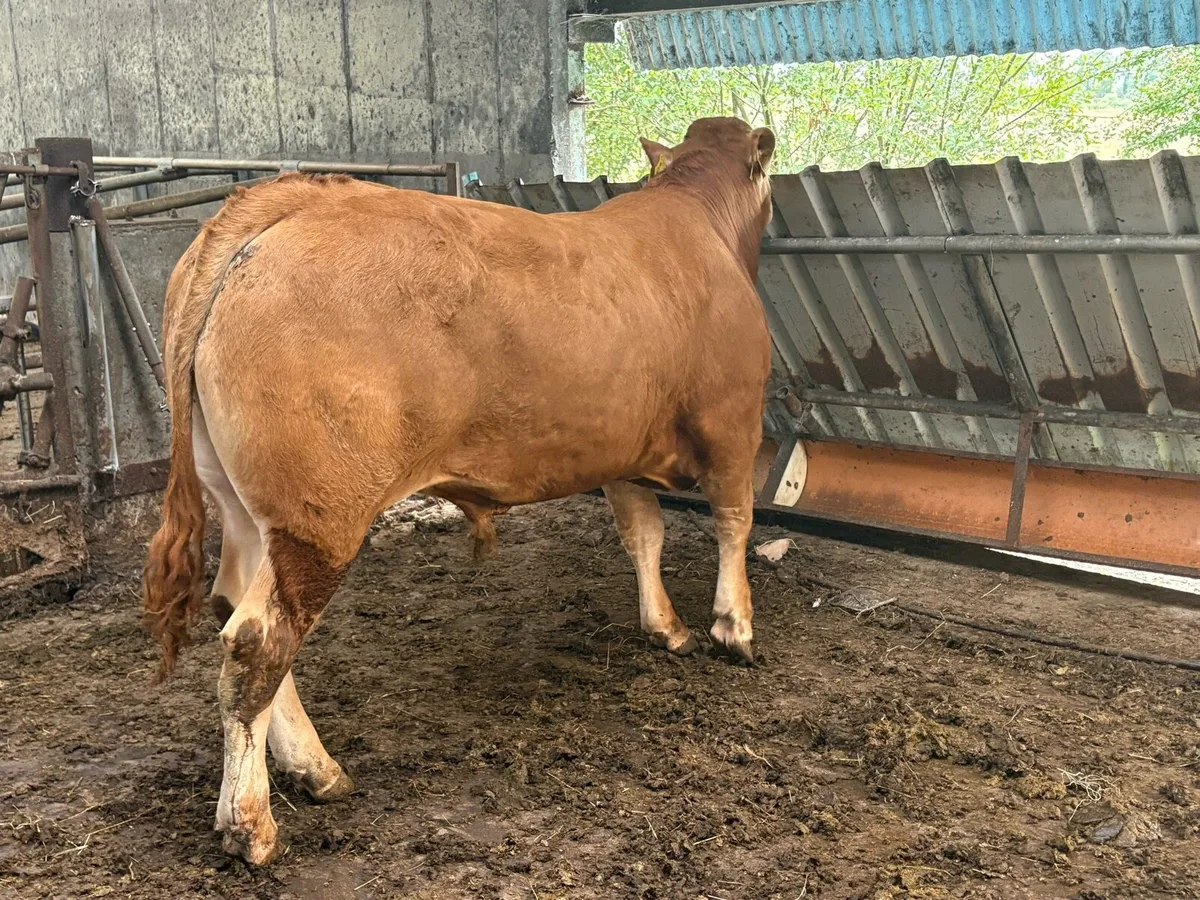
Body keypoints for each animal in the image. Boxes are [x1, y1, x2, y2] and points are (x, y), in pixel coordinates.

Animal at [142, 116, 776, 864]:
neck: (696, 221)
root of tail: (287, 202)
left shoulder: (620, 443)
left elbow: (642, 534)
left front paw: (667, 627)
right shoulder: (734, 422)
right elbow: (735, 521)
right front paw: (735, 628)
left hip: (244, 507)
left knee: (235, 607)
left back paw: (317, 770)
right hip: (320, 514)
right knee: (258, 641)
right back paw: (251, 823)